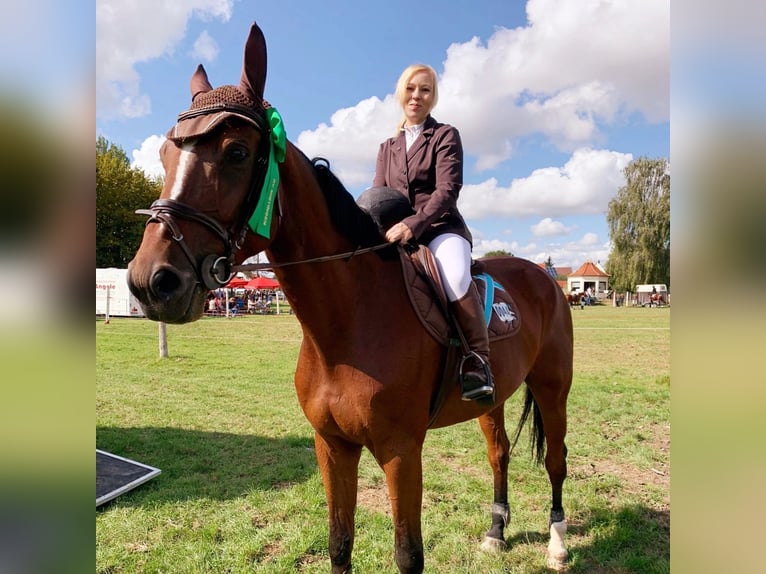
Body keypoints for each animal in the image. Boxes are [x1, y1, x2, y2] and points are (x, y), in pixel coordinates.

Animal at [126, 21, 572, 572]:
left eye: (235, 152)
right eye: (166, 154)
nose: (151, 281)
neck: (346, 327)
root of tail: (544, 277)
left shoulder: (402, 452)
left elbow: (408, 554)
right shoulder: (332, 446)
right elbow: (339, 542)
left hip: (553, 386)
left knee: (555, 460)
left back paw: (557, 543)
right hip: (495, 397)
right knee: (500, 452)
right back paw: (495, 532)